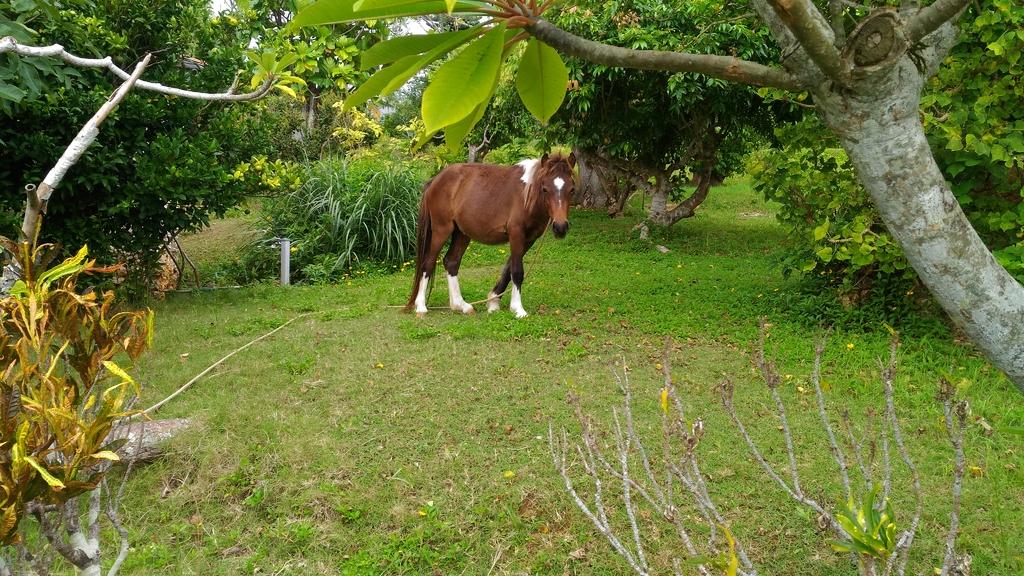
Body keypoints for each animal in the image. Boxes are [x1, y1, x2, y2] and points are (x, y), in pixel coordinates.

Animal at [401, 150, 577, 315]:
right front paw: (518, 309)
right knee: (428, 262)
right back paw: (421, 306)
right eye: (545, 189)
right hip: (441, 230)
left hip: (461, 233)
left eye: (572, 189)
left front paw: (493, 302)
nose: (560, 227)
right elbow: (517, 271)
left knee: (451, 262)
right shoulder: (516, 234)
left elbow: (508, 269)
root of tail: (434, 181)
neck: (527, 194)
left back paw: (460, 305)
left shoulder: (529, 239)